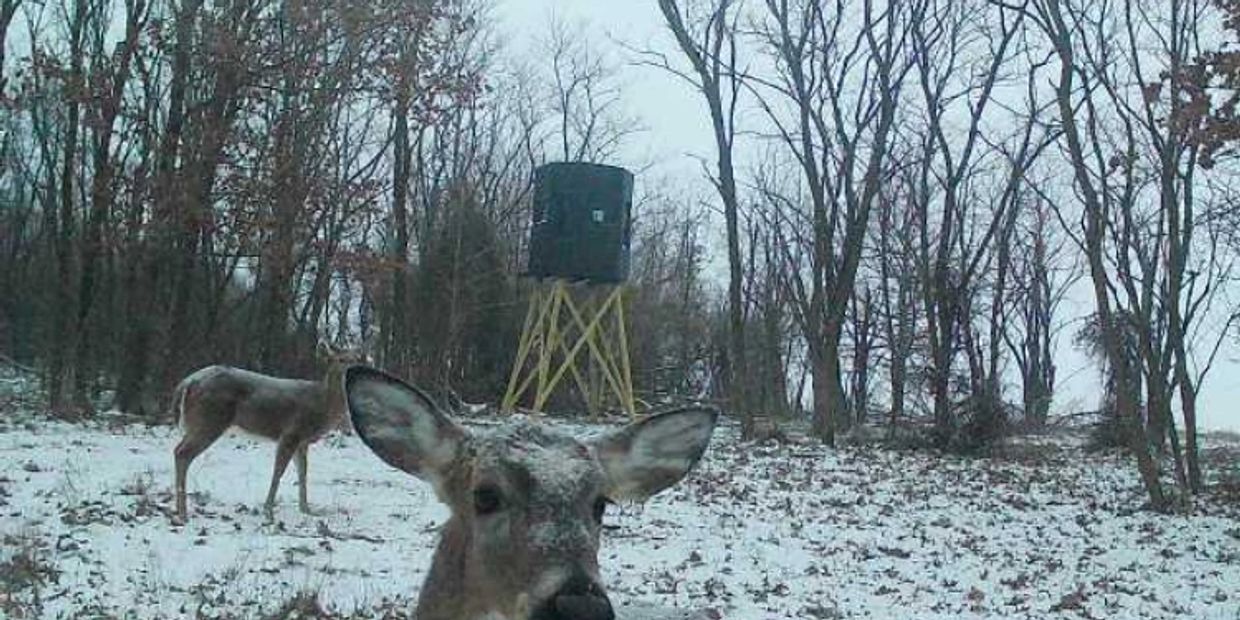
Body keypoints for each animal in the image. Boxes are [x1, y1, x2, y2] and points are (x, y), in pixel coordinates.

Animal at [172, 342, 368, 522]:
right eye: (341, 359)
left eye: (357, 359)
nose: (353, 371)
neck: (322, 406)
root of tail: (187, 382)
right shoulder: (291, 433)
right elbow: (278, 472)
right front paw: (268, 512)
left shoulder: (302, 441)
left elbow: (303, 473)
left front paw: (306, 509)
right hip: (210, 419)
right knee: (182, 453)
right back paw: (183, 514)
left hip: (201, 421)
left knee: (178, 450)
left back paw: (178, 510)